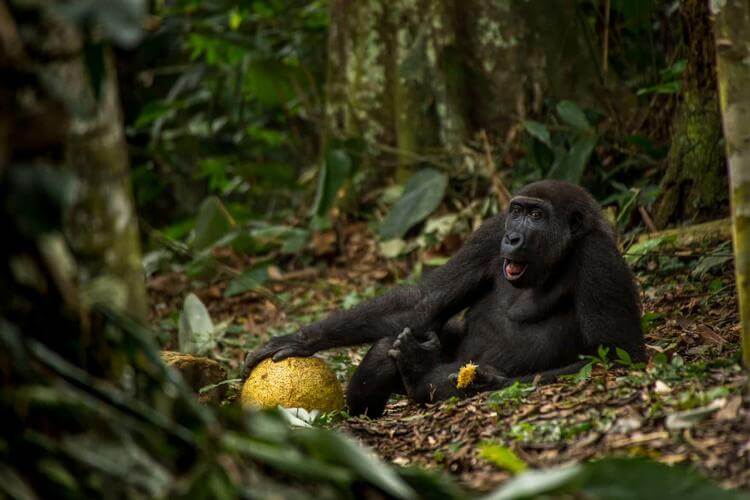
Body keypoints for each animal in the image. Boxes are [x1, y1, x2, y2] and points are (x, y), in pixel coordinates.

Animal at [245, 180, 648, 418]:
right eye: (517, 211)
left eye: (537, 215)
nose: (513, 238)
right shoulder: (490, 232)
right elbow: (423, 302)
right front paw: (300, 339)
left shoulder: (598, 258)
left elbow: (616, 356)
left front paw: (482, 381)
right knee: (391, 342)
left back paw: (421, 374)